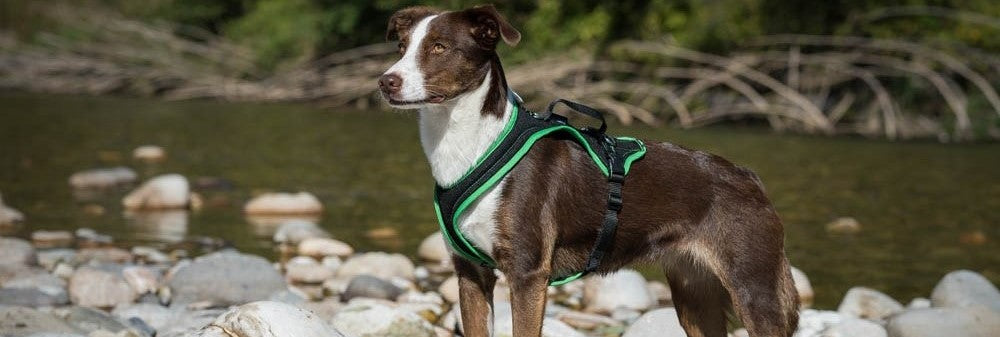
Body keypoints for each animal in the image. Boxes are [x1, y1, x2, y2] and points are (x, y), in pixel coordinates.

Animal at [378, 4, 800, 336]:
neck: (472, 144)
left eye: (438, 47)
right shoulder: (471, 275)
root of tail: (748, 177)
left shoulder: (527, 274)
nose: (385, 81)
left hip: (754, 290)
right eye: (401, 48)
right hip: (695, 295)